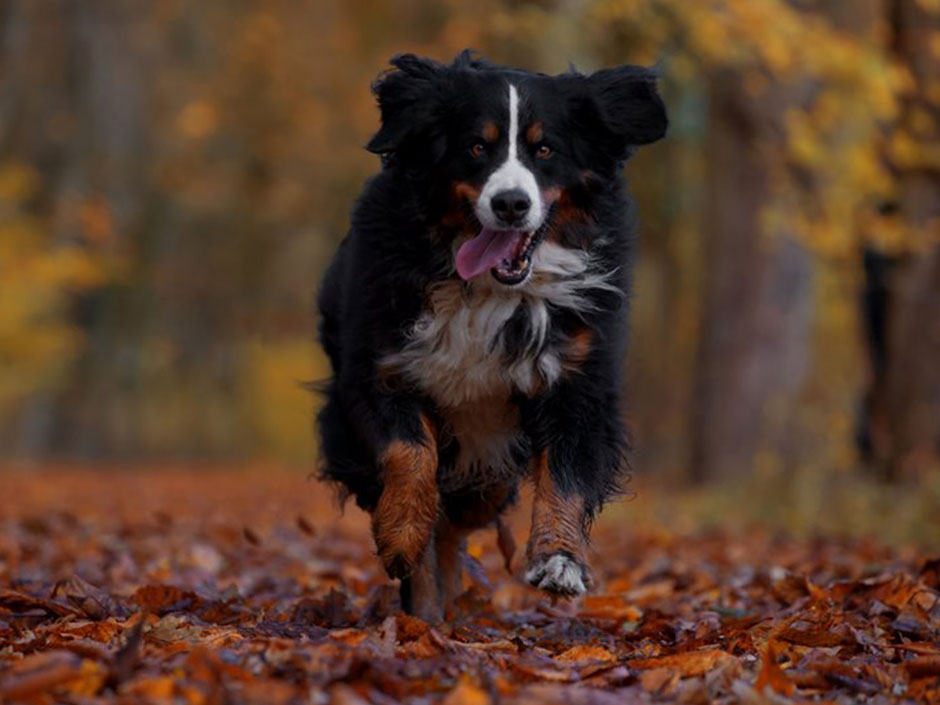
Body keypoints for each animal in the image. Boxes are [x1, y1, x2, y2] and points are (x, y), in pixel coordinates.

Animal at [318, 51, 668, 620]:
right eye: (476, 147)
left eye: (545, 149)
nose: (510, 204)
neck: (488, 291)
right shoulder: (378, 365)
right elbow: (409, 452)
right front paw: (400, 533)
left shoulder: (579, 378)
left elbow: (567, 472)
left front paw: (559, 560)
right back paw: (427, 606)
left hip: (490, 465)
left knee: (461, 518)